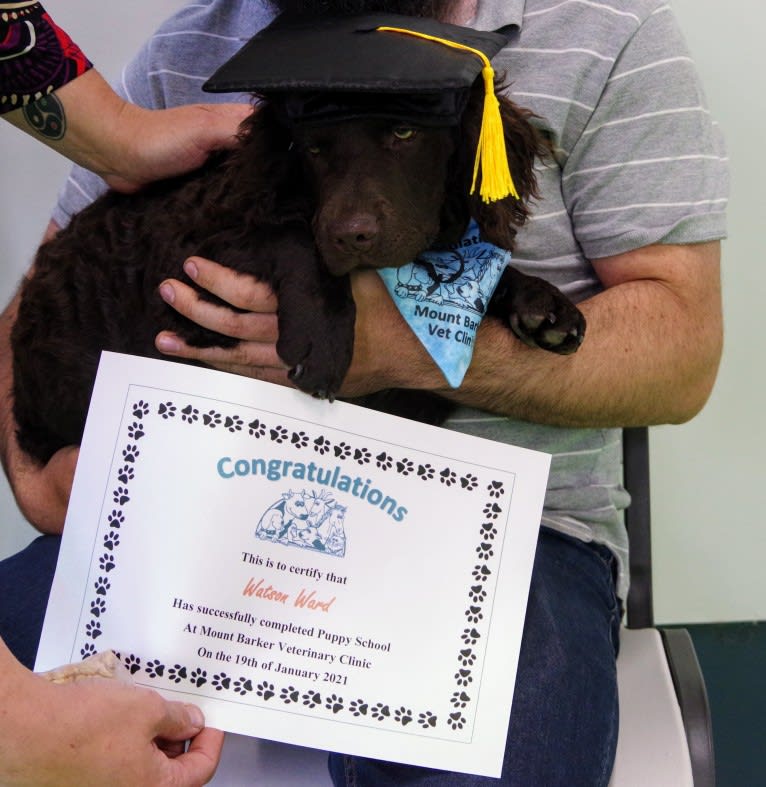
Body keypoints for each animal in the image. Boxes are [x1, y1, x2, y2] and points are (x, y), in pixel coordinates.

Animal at [12, 80, 584, 464]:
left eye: (405, 132)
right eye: (312, 148)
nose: (351, 236)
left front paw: (543, 304)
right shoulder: (203, 252)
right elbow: (295, 239)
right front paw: (323, 340)